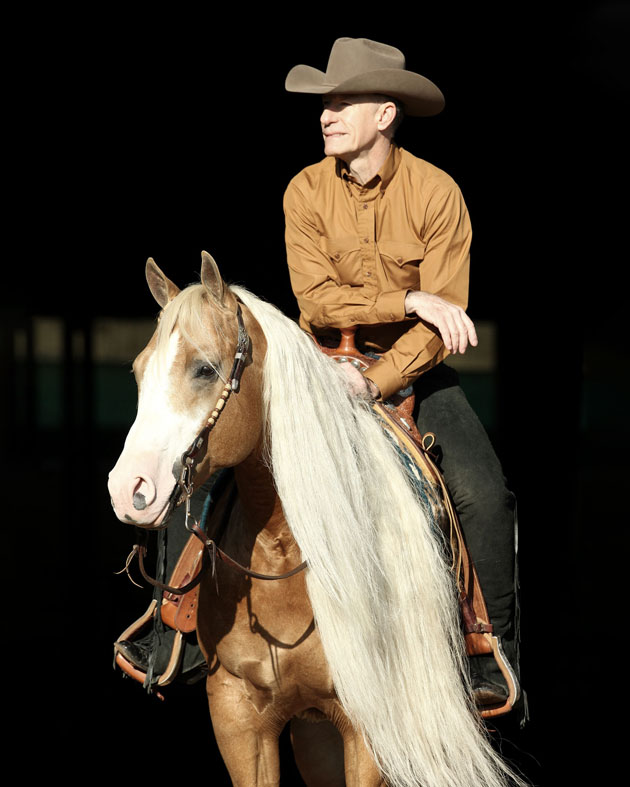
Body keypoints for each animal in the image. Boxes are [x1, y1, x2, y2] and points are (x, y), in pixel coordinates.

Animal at [108, 251, 522, 787]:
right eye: (140, 371)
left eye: (204, 369)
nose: (129, 488)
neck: (286, 551)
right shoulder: (238, 714)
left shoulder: (369, 732)